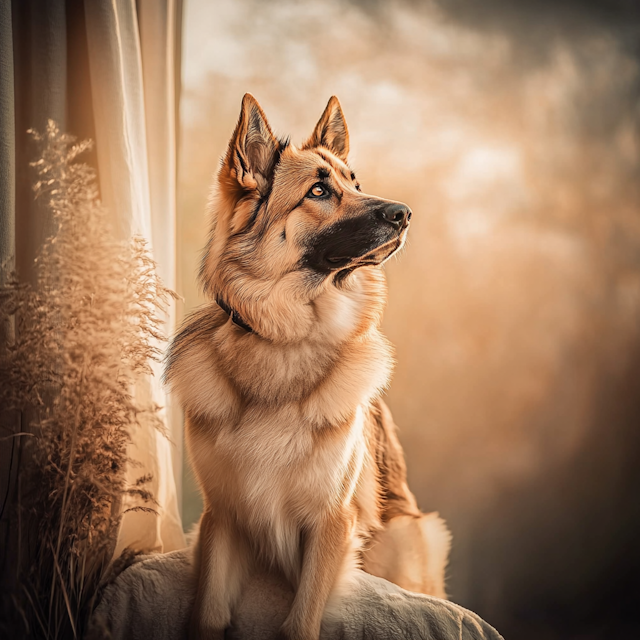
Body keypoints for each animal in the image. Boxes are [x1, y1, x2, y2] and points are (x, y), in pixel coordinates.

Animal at [165, 95, 450, 640]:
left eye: (355, 183)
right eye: (319, 191)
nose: (404, 213)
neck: (284, 339)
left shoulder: (329, 525)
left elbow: (299, 623)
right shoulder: (222, 519)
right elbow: (208, 613)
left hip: (407, 534)